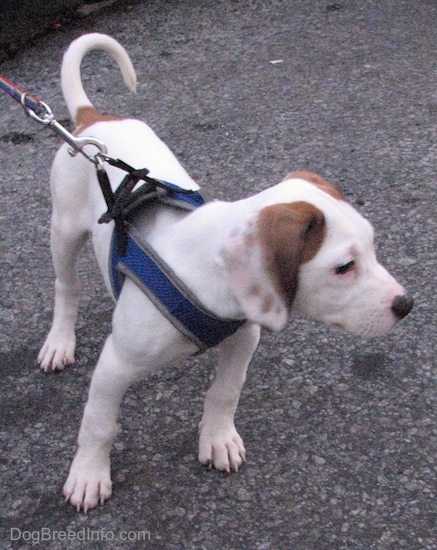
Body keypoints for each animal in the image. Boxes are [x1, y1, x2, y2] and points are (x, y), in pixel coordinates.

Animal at [37, 32, 412, 512]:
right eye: (344, 267)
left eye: (372, 243)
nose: (406, 305)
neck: (203, 276)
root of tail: (92, 122)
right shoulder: (115, 364)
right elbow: (99, 424)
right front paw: (88, 475)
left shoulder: (244, 334)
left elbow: (225, 390)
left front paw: (217, 438)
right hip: (64, 230)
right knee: (66, 286)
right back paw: (59, 342)